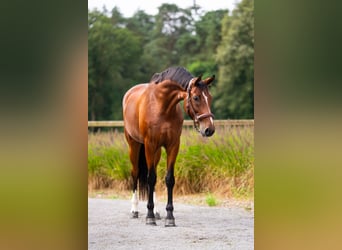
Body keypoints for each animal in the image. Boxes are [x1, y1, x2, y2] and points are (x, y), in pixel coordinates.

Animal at [122, 66, 214, 227]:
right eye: (196, 98)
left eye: (210, 98)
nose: (209, 129)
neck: (161, 106)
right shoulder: (150, 145)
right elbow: (150, 178)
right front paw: (149, 216)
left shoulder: (172, 146)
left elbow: (169, 179)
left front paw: (169, 216)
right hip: (134, 146)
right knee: (135, 173)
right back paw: (135, 210)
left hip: (157, 152)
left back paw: (157, 211)